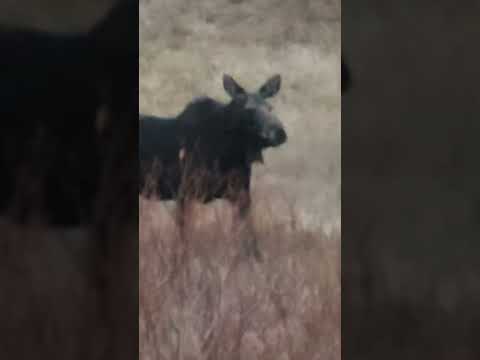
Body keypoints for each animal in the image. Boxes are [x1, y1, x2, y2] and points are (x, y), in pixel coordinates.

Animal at [141, 74, 286, 258]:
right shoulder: (184, 193)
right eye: (248, 109)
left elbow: (251, 240)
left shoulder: (241, 193)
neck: (228, 151)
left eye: (270, 107)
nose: (279, 133)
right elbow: (183, 240)